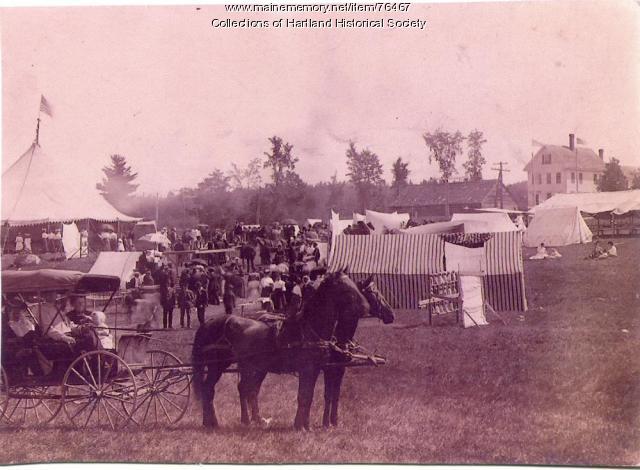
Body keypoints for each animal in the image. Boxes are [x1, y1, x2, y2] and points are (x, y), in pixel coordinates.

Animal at [189, 272, 396, 430]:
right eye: (348, 289)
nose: (390, 314)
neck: (311, 330)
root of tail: (210, 322)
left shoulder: (321, 369)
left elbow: (314, 396)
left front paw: (311, 424)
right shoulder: (312, 369)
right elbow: (306, 396)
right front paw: (304, 425)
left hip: (252, 367)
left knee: (245, 389)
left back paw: (246, 420)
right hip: (220, 365)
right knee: (214, 388)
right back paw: (215, 422)